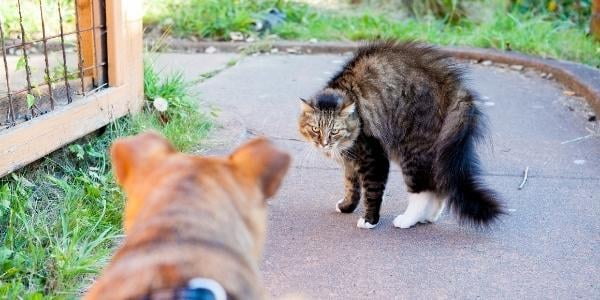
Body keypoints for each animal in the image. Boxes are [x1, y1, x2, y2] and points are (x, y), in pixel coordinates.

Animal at [298, 39, 502, 227]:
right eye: (315, 129)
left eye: (334, 131)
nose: (324, 143)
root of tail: (456, 88)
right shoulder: (350, 163)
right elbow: (351, 187)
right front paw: (347, 207)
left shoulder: (374, 157)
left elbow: (371, 192)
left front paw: (370, 220)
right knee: (438, 185)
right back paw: (429, 217)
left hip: (412, 149)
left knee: (422, 191)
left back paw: (407, 220)